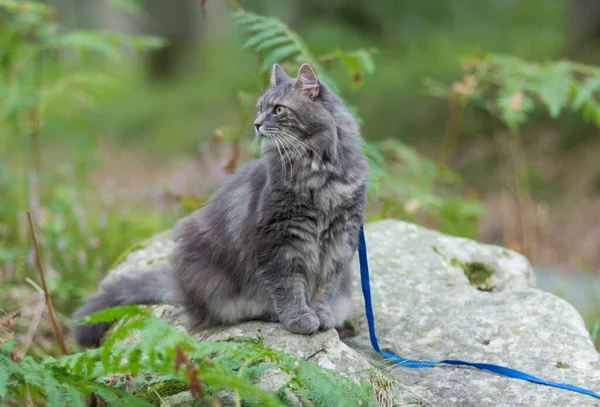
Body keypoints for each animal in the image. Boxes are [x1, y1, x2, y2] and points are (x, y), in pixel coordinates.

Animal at [72, 63, 368, 348]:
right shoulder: (280, 240)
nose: (256, 124)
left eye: (278, 109)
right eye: (260, 108)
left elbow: (324, 288)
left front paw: (321, 315)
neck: (318, 172)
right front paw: (299, 318)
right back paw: (271, 312)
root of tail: (182, 288)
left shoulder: (340, 240)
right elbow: (288, 286)